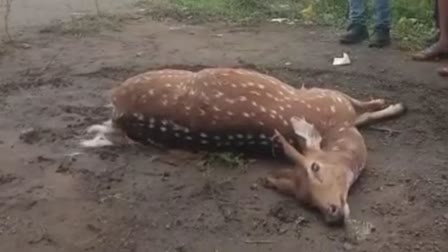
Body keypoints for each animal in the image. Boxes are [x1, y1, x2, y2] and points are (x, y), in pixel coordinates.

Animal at [80, 66, 406, 224]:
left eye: (315, 167)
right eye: (304, 200)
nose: (332, 213)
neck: (338, 128)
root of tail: (117, 107)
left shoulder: (334, 100)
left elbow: (365, 111)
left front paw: (392, 104)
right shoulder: (329, 96)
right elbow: (366, 109)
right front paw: (395, 104)